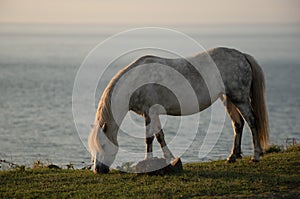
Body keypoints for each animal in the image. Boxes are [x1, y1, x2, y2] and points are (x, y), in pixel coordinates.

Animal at [88, 46, 268, 173]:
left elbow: (150, 138)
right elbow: (159, 136)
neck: (136, 81)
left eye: (102, 145)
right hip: (228, 99)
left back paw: (255, 156)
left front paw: (150, 162)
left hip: (240, 99)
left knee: (252, 121)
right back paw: (233, 156)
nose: (98, 170)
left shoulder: (149, 112)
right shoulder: (152, 113)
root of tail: (241, 55)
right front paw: (167, 158)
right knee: (238, 124)